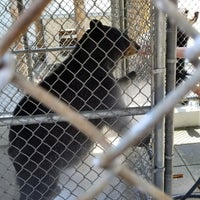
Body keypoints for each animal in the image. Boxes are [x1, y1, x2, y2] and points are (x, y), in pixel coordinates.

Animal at [8, 19, 141, 200]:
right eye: (125, 37)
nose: (139, 45)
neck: (95, 61)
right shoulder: (96, 90)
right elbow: (116, 114)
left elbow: (118, 85)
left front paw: (131, 74)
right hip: (39, 155)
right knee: (39, 183)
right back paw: (53, 191)